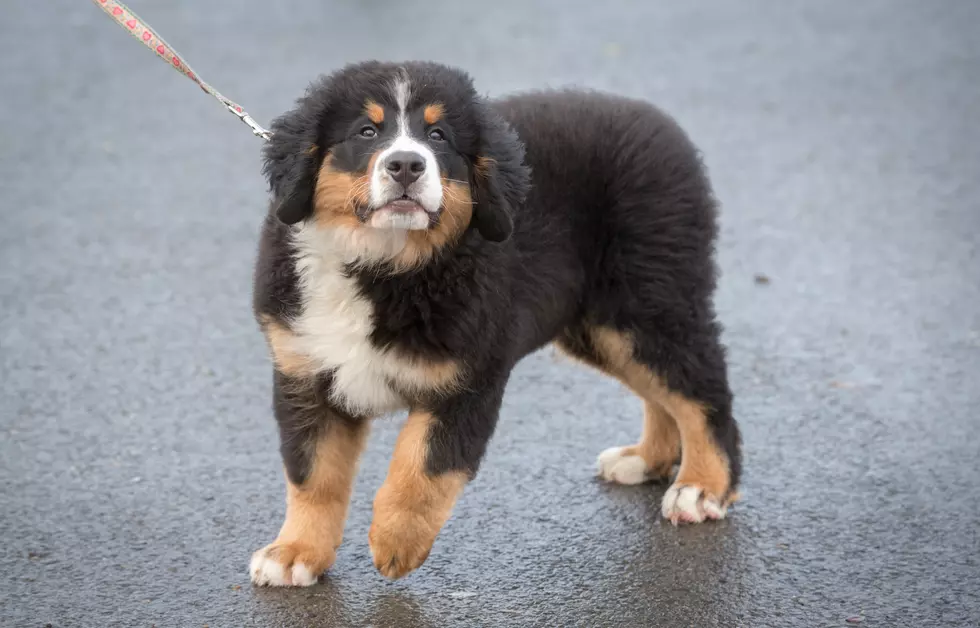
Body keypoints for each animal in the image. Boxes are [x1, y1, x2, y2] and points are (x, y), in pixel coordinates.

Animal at [251, 61, 744, 588]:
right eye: (366, 131)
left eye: (438, 136)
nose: (406, 165)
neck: (384, 264)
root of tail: (658, 121)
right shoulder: (305, 371)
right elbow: (313, 475)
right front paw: (295, 552)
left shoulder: (470, 375)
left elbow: (425, 464)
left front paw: (396, 541)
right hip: (600, 326)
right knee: (663, 391)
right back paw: (648, 459)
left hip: (645, 303)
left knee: (701, 390)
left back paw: (702, 488)